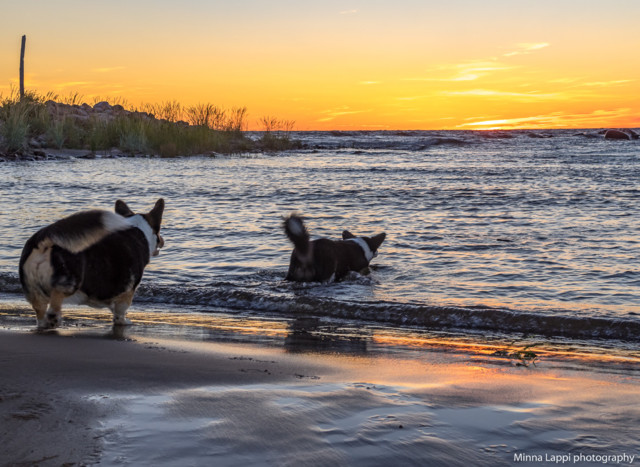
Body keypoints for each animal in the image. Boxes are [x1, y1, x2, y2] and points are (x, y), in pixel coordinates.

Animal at [19, 199, 165, 330]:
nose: (163, 241)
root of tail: (46, 237)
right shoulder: (128, 291)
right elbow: (120, 311)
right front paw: (124, 322)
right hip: (70, 281)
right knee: (56, 299)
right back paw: (54, 319)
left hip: (33, 289)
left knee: (40, 311)